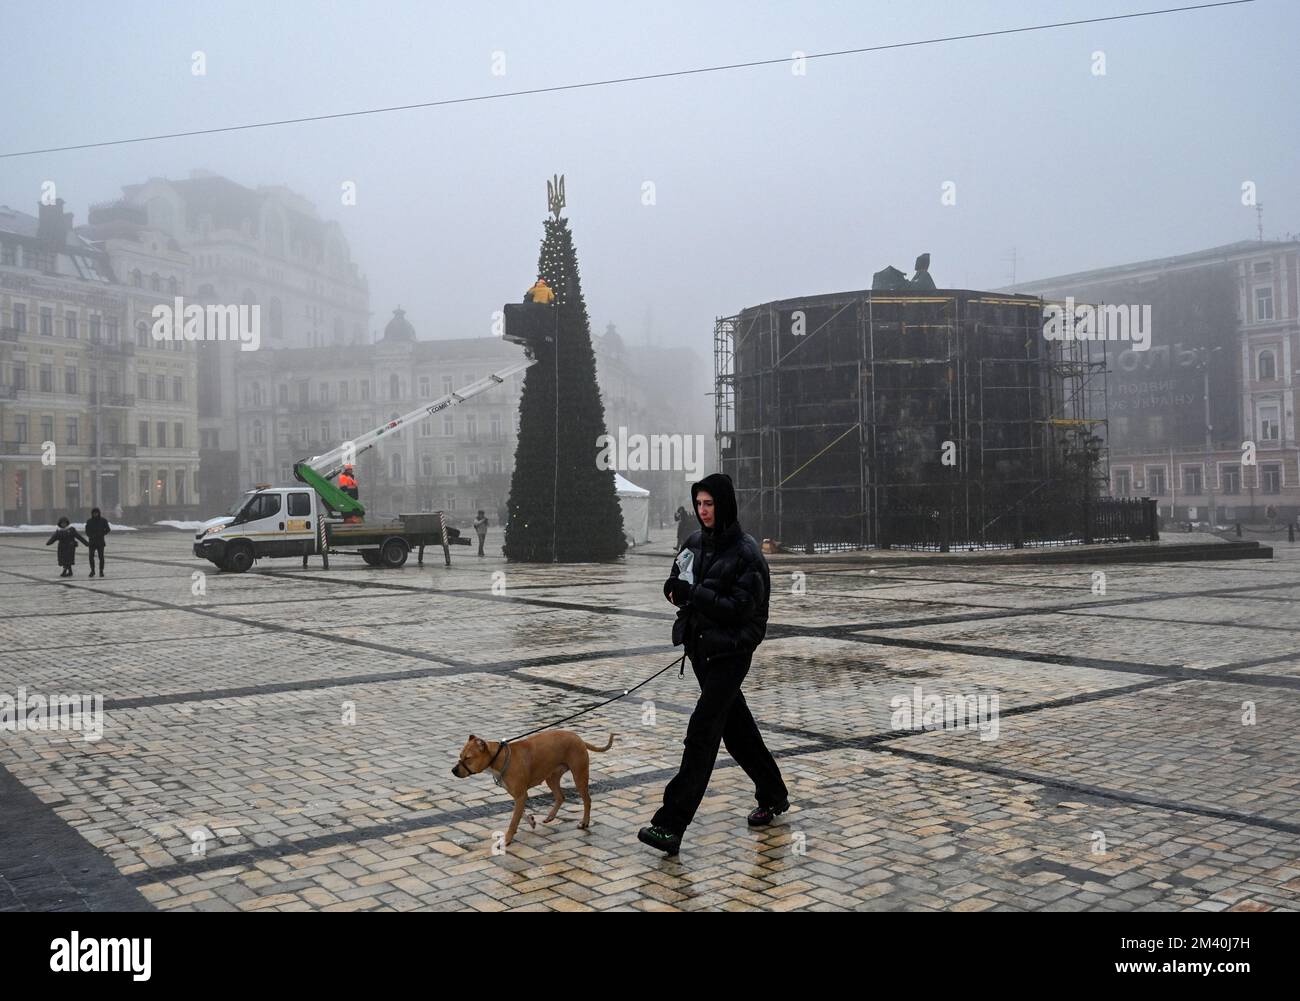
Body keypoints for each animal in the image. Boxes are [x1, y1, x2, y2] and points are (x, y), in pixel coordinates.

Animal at [452, 728, 613, 837]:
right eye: (460, 755)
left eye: (468, 758)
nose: (453, 770)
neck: (500, 758)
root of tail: (578, 738)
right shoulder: (518, 795)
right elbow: (520, 813)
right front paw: (530, 820)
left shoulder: (521, 795)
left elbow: (514, 821)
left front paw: (507, 840)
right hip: (551, 777)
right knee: (560, 797)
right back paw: (550, 816)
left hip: (579, 776)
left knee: (587, 800)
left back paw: (584, 822)